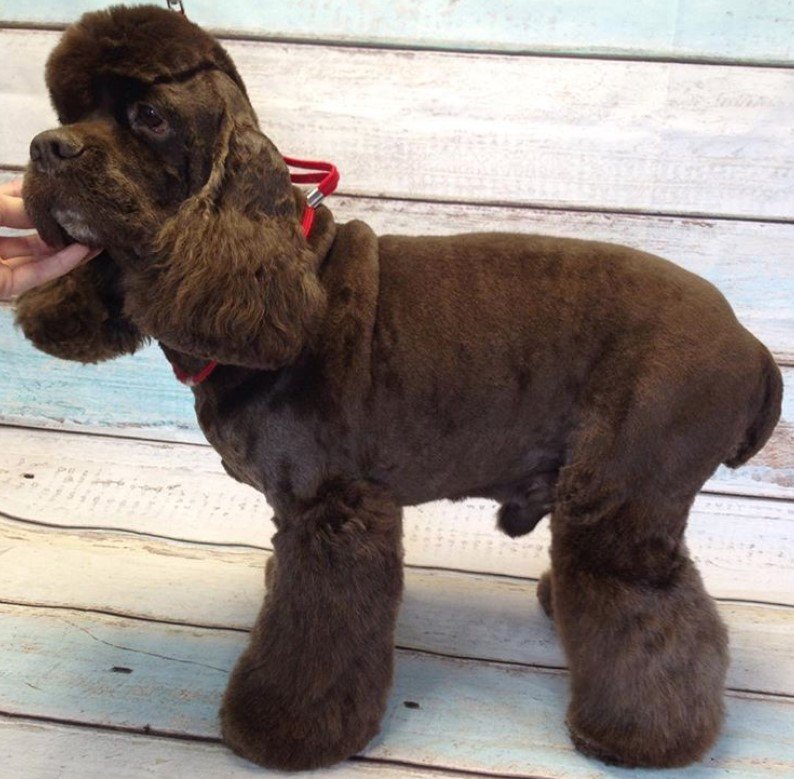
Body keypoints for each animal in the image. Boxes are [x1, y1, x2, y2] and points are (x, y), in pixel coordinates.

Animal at [13, 4, 780, 772]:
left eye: (148, 115)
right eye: (71, 112)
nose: (46, 147)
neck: (277, 277)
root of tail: (752, 344)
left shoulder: (336, 511)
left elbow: (315, 640)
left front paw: (281, 728)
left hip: (624, 496)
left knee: (661, 614)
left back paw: (640, 735)